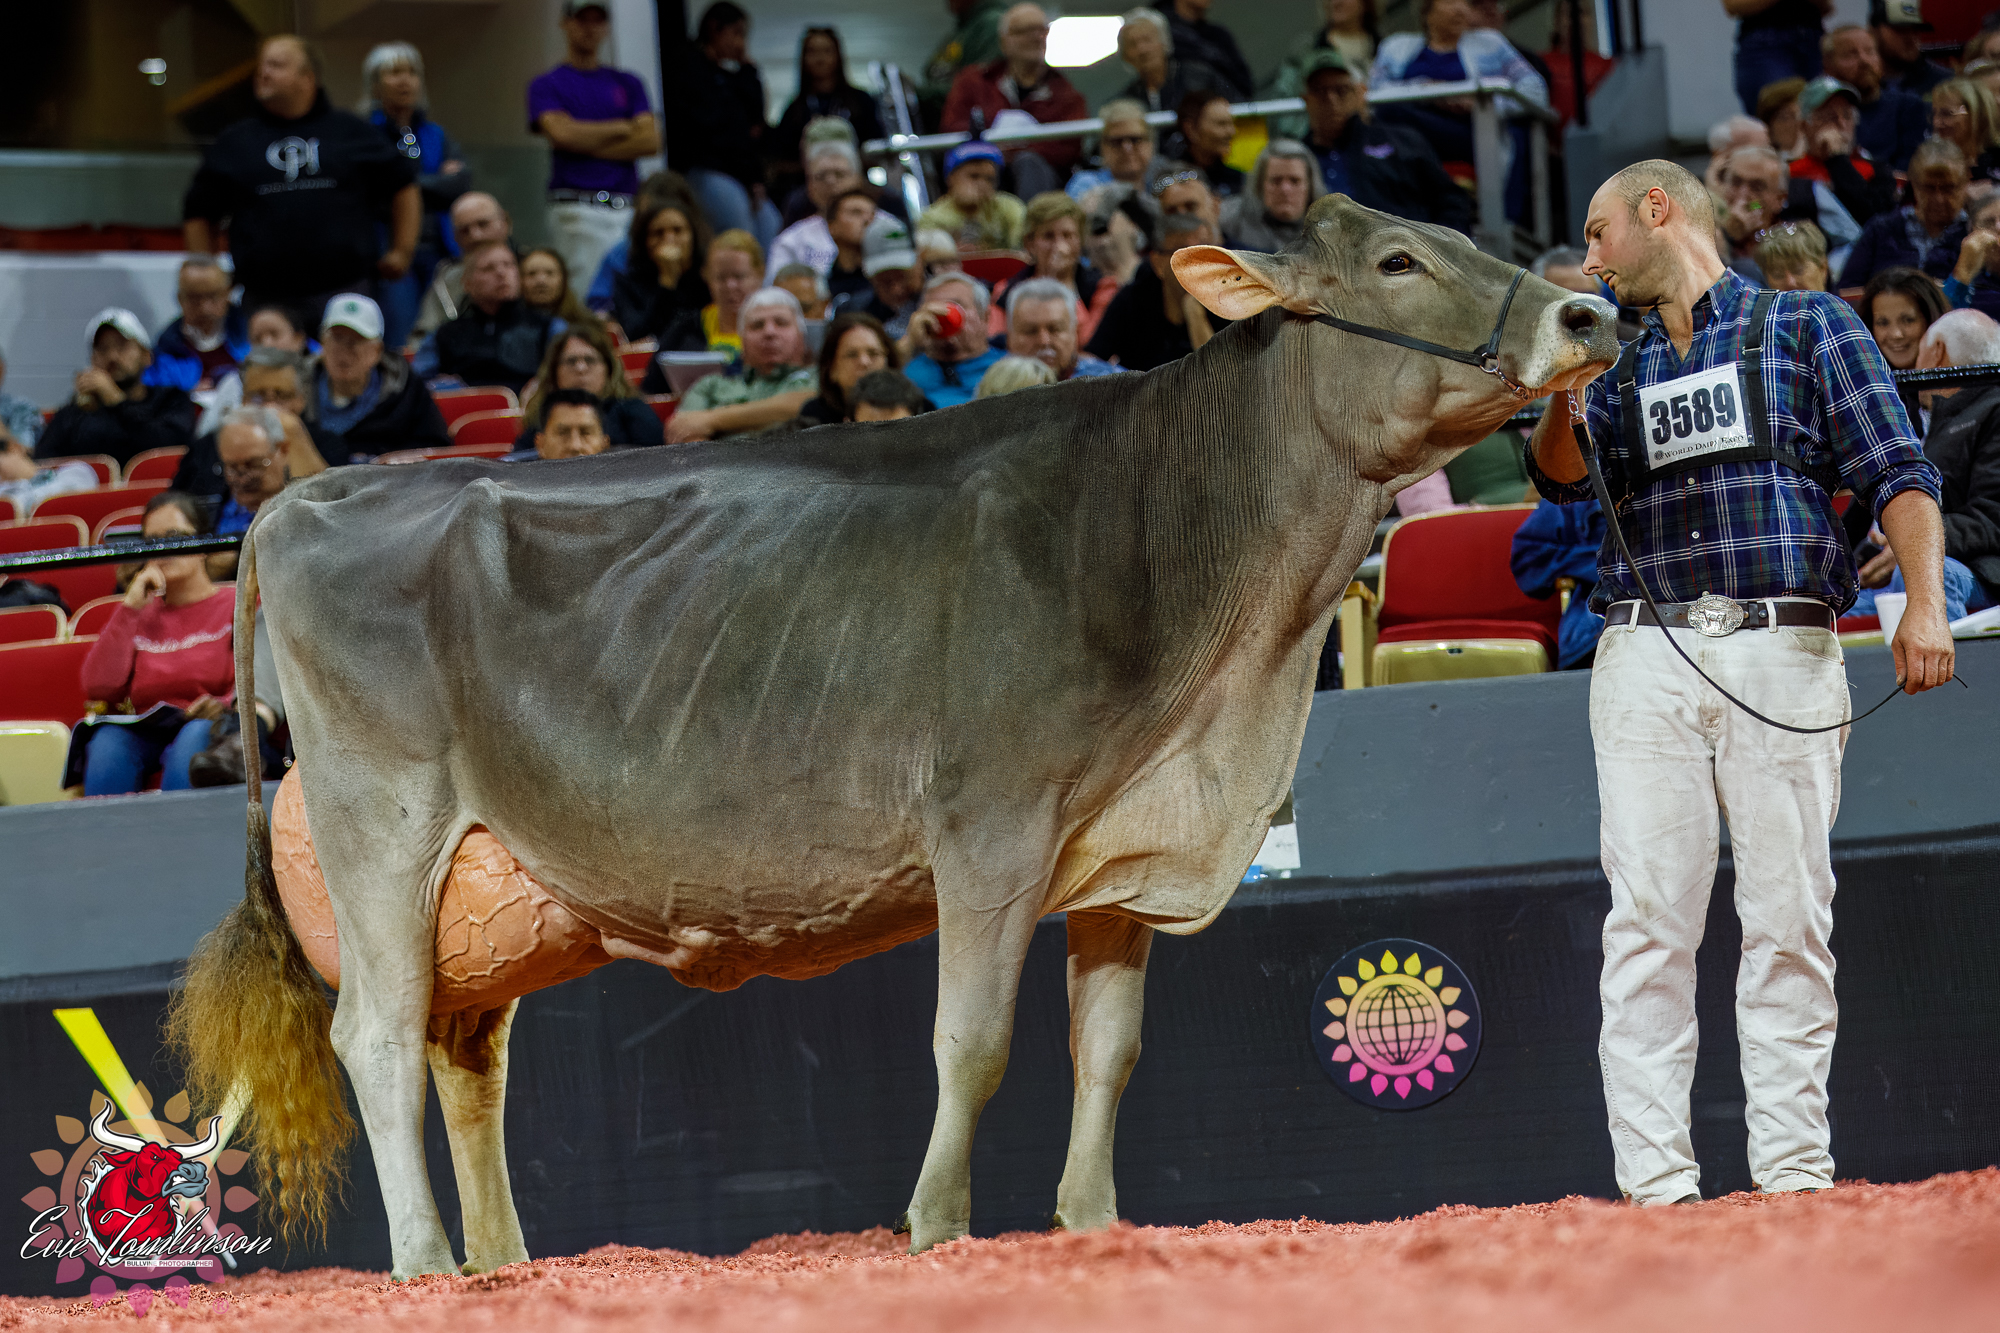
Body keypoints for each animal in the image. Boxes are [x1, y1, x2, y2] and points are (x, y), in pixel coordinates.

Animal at [169, 195, 1618, 1279]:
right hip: (382, 821)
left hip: (488, 883)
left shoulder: (1122, 846)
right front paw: (936, 1227)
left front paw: (1092, 1225)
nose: (1589, 310)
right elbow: (970, 1041)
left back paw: (503, 1262)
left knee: (465, 1055)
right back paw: (423, 1262)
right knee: (376, 1033)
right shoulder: (990, 827)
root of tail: (308, 496)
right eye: (1397, 260)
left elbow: (1109, 1047)